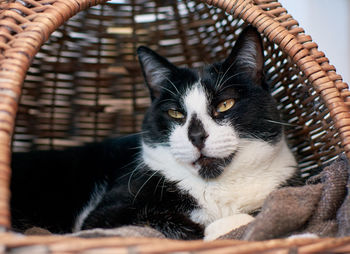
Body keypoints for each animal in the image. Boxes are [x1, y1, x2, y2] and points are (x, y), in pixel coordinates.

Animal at [9, 26, 296, 241]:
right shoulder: (105, 214)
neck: (216, 188)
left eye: (225, 104)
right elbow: (181, 226)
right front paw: (213, 228)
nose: (196, 136)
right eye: (175, 113)